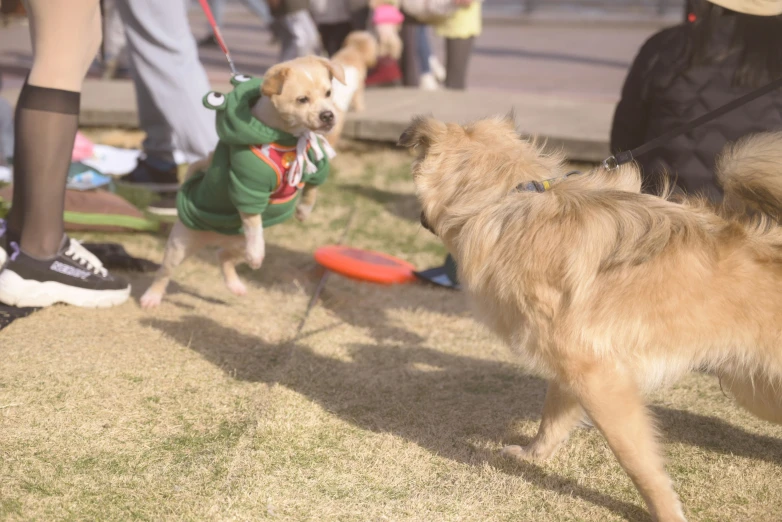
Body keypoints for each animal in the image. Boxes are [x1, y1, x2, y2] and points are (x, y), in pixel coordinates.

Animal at [142, 55, 344, 308]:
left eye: (328, 93)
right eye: (302, 100)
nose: (328, 116)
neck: (288, 139)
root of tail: (214, 236)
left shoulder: (317, 165)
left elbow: (312, 188)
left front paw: (303, 211)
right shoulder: (248, 187)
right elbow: (253, 223)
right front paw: (259, 247)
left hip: (238, 244)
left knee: (223, 256)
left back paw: (236, 284)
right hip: (180, 244)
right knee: (165, 271)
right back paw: (151, 297)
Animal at [402, 116, 782, 520]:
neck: (506, 198)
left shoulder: (602, 380)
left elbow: (639, 464)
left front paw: (666, 512)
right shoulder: (573, 364)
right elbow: (552, 417)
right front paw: (534, 455)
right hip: (756, 388)